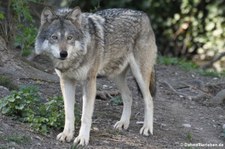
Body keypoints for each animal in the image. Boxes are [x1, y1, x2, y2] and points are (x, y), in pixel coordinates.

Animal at [35, 6, 157, 146]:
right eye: (54, 37)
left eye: (69, 37)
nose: (63, 54)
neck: (75, 60)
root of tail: (143, 14)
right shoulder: (66, 81)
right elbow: (69, 113)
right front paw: (67, 134)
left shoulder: (89, 81)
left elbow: (85, 116)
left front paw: (82, 138)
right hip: (116, 76)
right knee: (129, 96)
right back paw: (123, 123)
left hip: (139, 75)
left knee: (149, 99)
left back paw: (147, 128)